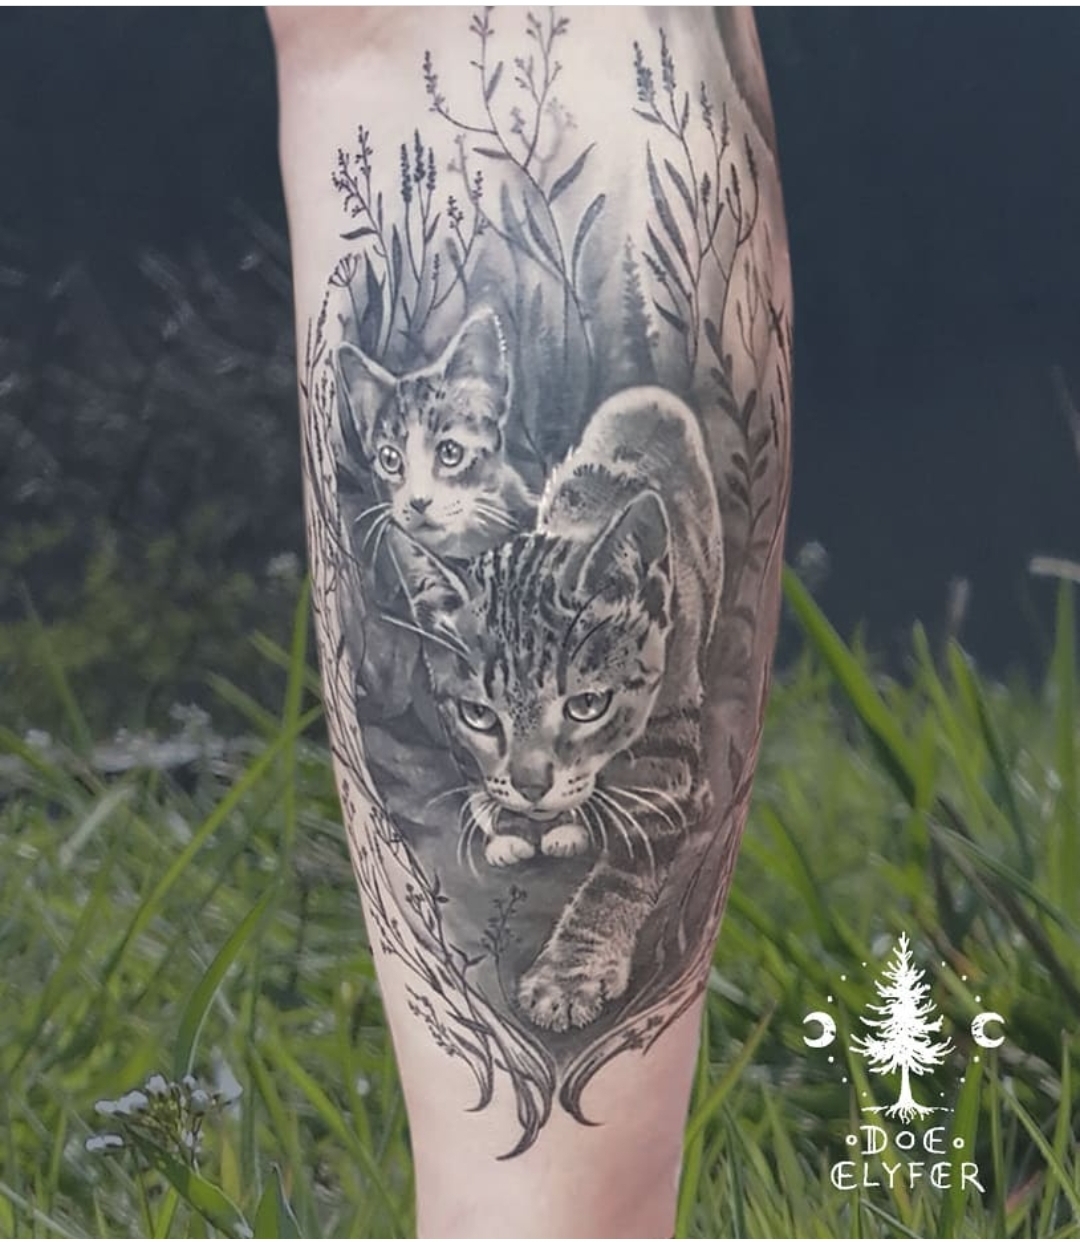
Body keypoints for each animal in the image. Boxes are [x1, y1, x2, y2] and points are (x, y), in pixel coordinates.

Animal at [390, 386, 723, 1032]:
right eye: (480, 716)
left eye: (587, 705)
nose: (531, 787)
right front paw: (507, 821)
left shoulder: (666, 751)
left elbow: (622, 870)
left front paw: (569, 973)